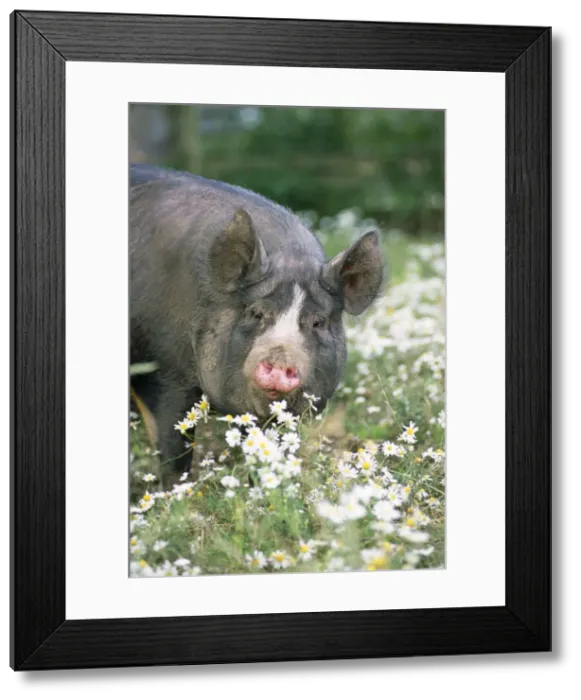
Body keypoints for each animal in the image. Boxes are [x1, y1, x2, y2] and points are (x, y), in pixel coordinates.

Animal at [129, 163, 385, 479]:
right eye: (255, 313)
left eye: (318, 322)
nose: (280, 359)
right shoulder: (162, 370)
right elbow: (172, 450)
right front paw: (177, 490)